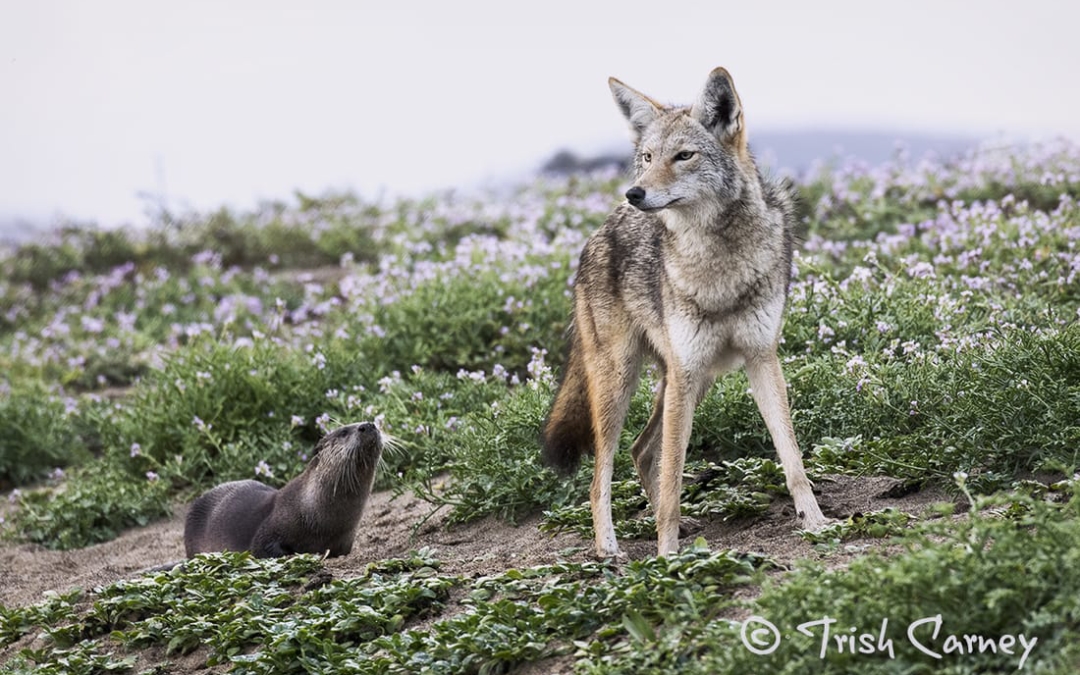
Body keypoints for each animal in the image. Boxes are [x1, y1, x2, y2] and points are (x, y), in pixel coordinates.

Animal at [184, 421, 384, 557]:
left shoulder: (344, 543)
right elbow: (262, 547)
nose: (368, 425)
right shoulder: (270, 527)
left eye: (372, 423)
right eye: (343, 432)